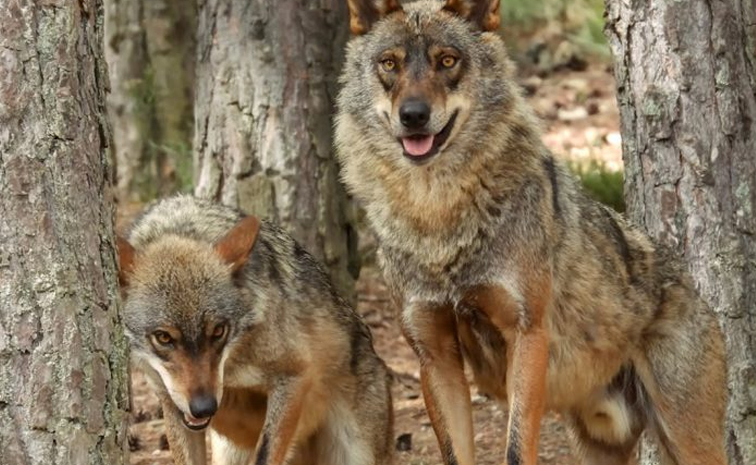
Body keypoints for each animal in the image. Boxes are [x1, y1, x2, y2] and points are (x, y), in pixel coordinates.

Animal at [117, 195, 393, 465]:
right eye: (163, 337)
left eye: (219, 331)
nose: (204, 407)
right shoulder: (171, 402)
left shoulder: (294, 374)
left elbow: (266, 453)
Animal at [334, 1, 727, 465]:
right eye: (389, 64)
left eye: (447, 61)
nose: (413, 116)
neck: (439, 218)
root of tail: (691, 284)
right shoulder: (434, 357)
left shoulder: (527, 336)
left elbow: (517, 448)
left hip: (687, 440)